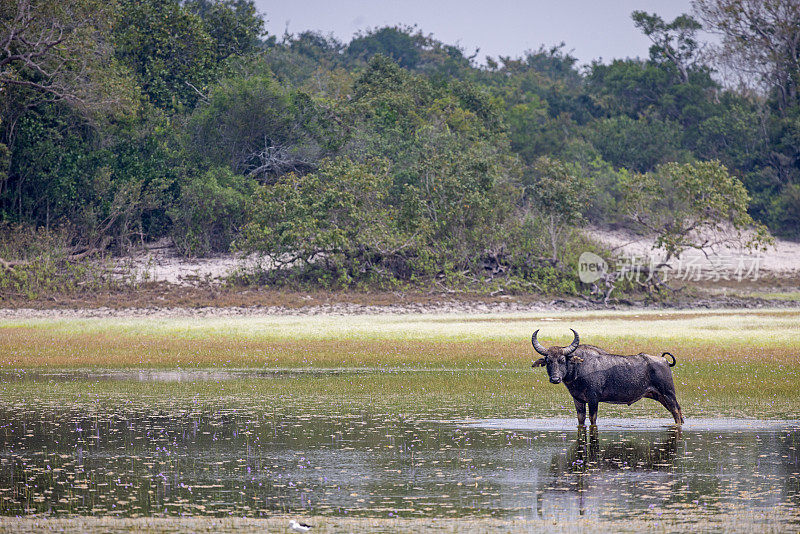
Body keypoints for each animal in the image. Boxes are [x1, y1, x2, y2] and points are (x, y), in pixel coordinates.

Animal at [536, 328, 684, 430]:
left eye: (562, 360)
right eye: (548, 361)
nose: (555, 379)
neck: (580, 367)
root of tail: (664, 360)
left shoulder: (593, 399)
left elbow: (593, 419)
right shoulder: (578, 400)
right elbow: (581, 420)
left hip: (668, 394)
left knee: (677, 412)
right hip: (660, 397)